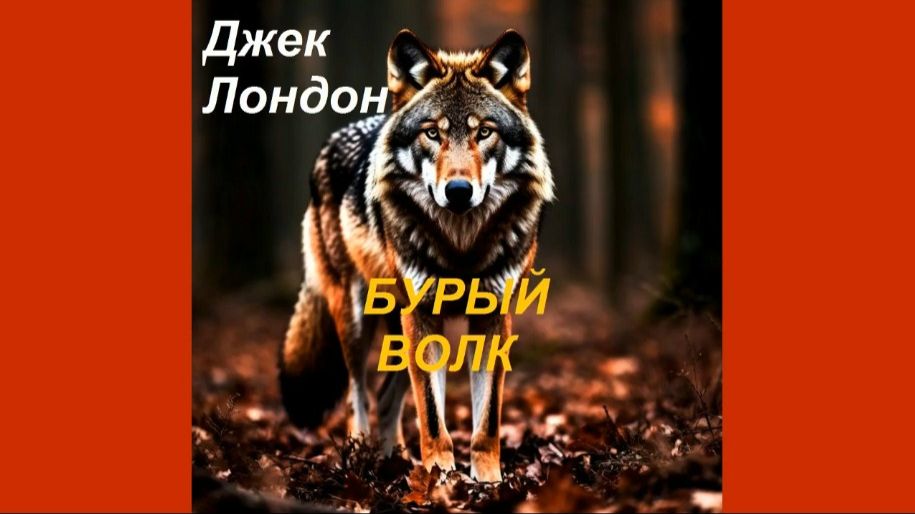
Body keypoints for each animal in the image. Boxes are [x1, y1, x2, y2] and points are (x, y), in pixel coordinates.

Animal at [279, 29, 553, 482]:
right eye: (432, 133)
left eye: (484, 133)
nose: (458, 191)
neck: (461, 248)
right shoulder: (422, 313)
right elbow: (431, 410)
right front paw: (441, 474)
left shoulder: (493, 316)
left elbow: (486, 418)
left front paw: (486, 479)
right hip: (356, 316)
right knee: (358, 393)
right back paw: (362, 456)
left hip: (395, 327)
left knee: (386, 396)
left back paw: (395, 459)